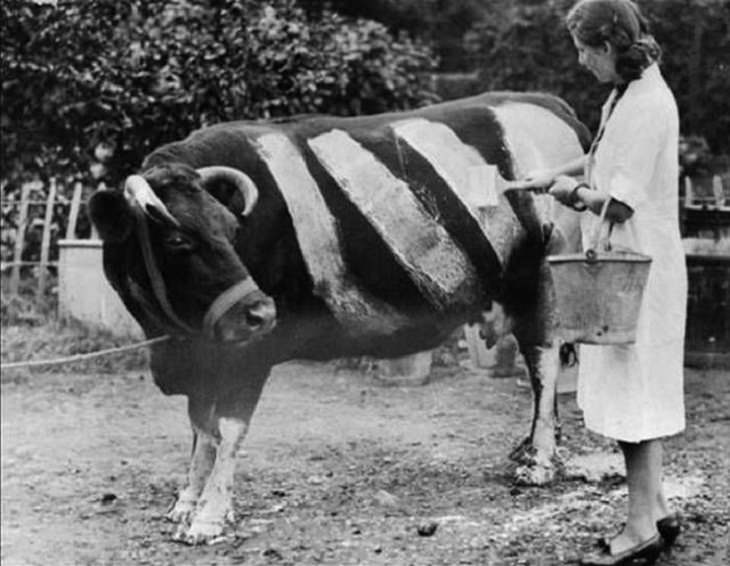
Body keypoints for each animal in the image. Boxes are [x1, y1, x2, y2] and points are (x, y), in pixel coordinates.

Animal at [89, 93, 592, 544]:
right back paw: (532, 447)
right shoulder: (201, 356)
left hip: (543, 274)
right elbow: (200, 427)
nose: (262, 311)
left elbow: (227, 427)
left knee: (543, 361)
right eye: (177, 240)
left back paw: (540, 462)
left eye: (231, 230)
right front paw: (186, 502)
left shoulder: (249, 353)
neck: (174, 342)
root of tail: (549, 103)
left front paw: (209, 517)